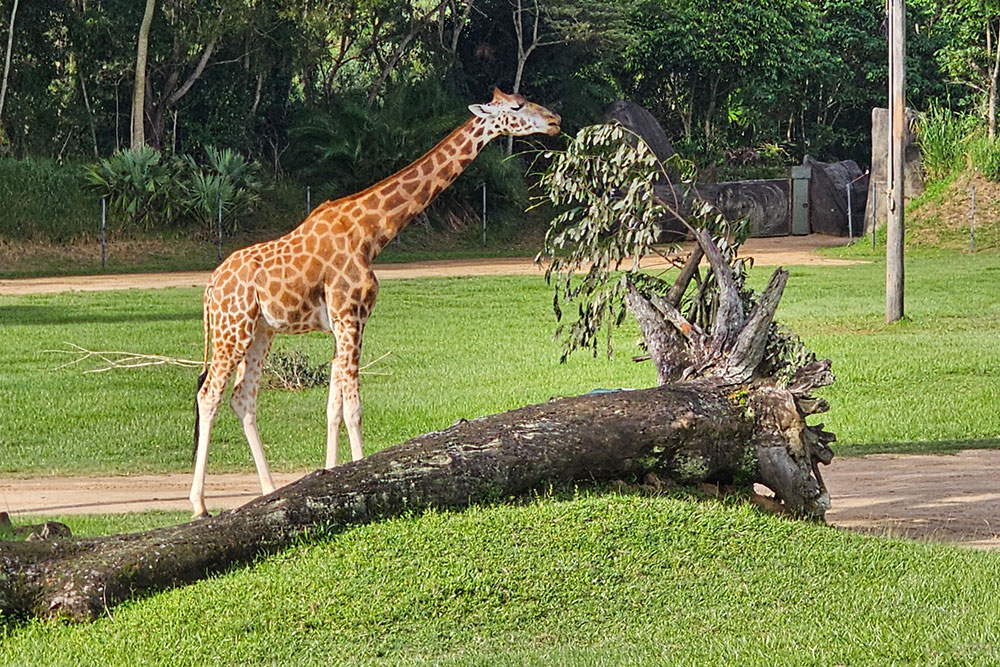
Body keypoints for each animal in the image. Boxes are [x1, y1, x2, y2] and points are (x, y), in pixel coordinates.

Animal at [190, 88, 561, 517]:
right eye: (516, 107)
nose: (555, 121)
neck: (371, 233)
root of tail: (209, 288)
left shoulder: (342, 322)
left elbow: (333, 408)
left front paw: (330, 475)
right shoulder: (351, 314)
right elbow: (353, 409)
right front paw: (363, 479)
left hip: (261, 332)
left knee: (243, 398)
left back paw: (269, 491)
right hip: (232, 329)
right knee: (209, 395)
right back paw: (199, 505)